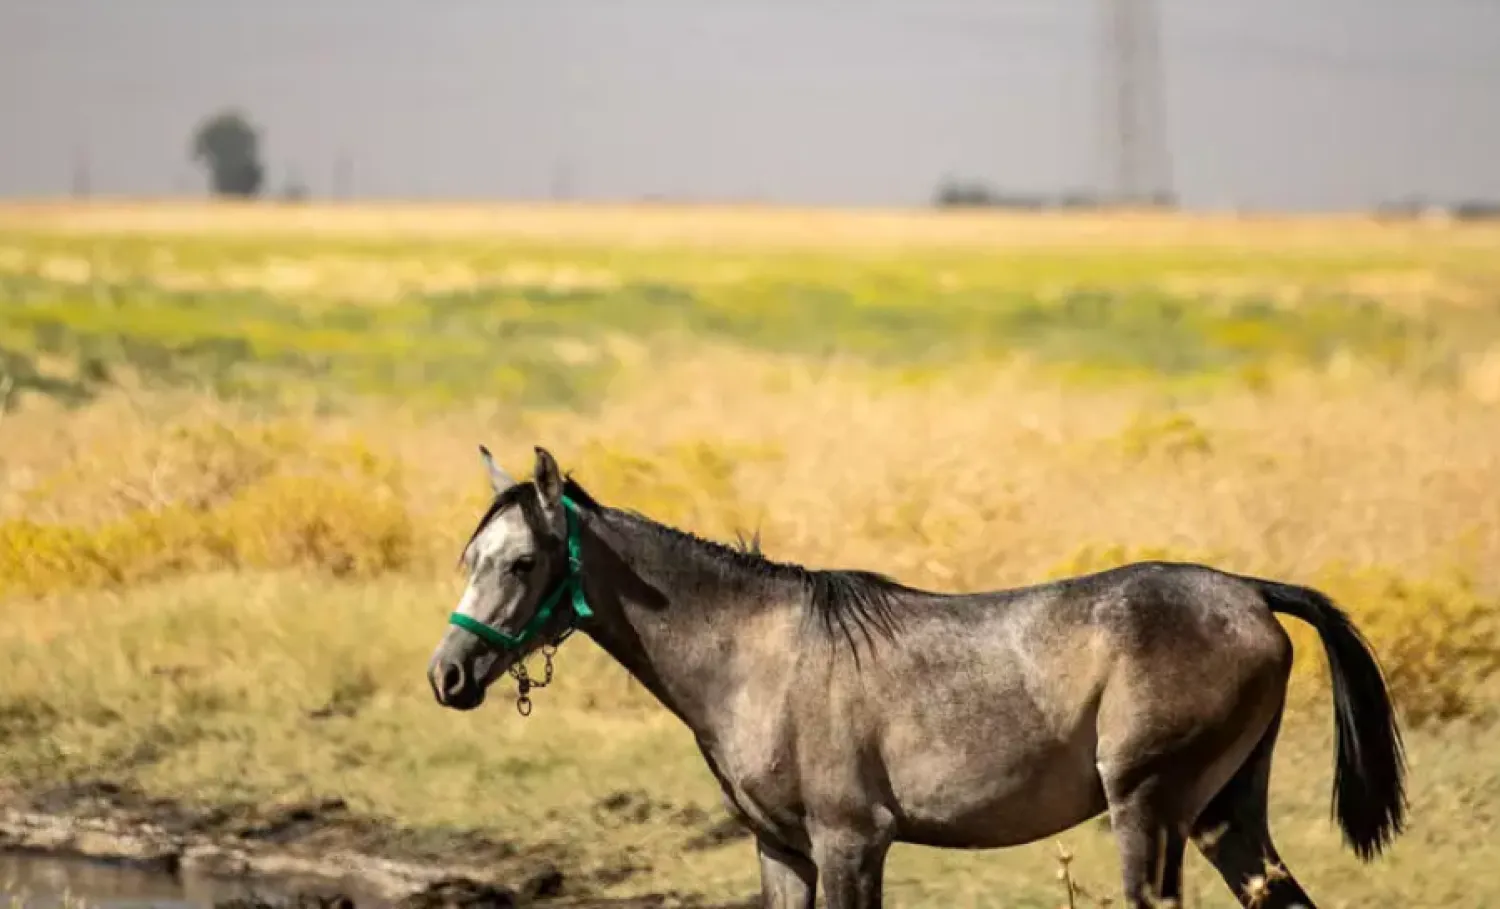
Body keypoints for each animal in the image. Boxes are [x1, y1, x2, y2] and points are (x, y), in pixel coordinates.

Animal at [427, 446, 1406, 909]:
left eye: (522, 561)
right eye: (468, 556)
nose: (448, 673)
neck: (755, 655)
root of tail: (1250, 591)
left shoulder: (852, 842)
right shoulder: (782, 848)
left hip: (1150, 811)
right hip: (1223, 816)